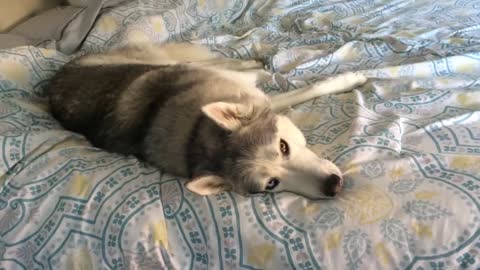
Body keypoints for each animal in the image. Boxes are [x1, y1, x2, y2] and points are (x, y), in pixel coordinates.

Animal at [47, 42, 364, 198]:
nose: (334, 186)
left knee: (221, 62)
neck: (198, 133)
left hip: (172, 63)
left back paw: (254, 62)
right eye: (271, 184)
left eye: (283, 146)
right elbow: (304, 91)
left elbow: (309, 88)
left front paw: (350, 78)